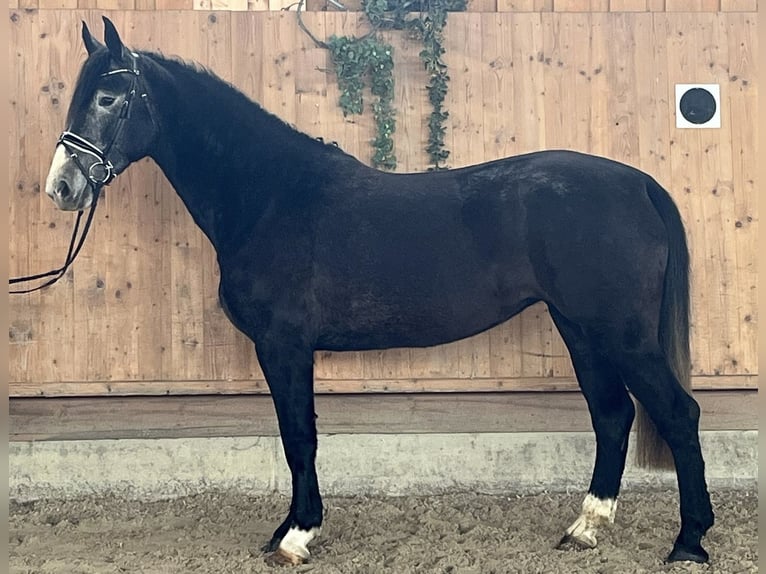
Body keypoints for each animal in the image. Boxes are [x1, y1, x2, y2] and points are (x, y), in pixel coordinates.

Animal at [44, 16, 713, 566]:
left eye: (108, 97)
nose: (63, 186)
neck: (271, 195)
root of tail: (638, 183)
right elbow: (297, 436)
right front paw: (288, 529)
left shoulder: (284, 345)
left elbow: (299, 437)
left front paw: (296, 536)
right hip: (579, 327)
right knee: (613, 413)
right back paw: (585, 528)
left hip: (620, 333)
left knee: (677, 413)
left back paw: (689, 541)